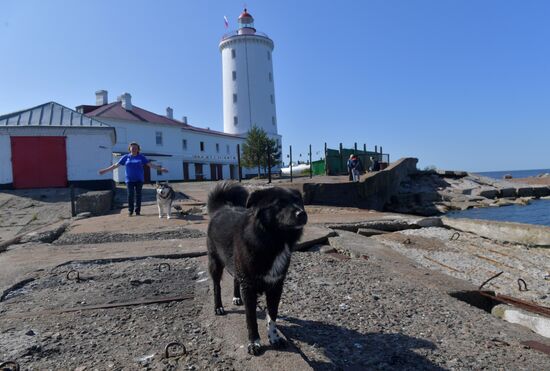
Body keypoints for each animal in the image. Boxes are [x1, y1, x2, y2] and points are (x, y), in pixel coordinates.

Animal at [208, 182, 310, 356]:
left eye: (298, 201)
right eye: (279, 203)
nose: (302, 214)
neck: (274, 241)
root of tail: (221, 208)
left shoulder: (276, 287)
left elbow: (272, 316)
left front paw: (274, 338)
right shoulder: (249, 287)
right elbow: (251, 319)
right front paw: (254, 343)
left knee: (235, 279)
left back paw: (236, 297)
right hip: (215, 263)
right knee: (216, 286)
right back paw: (218, 307)